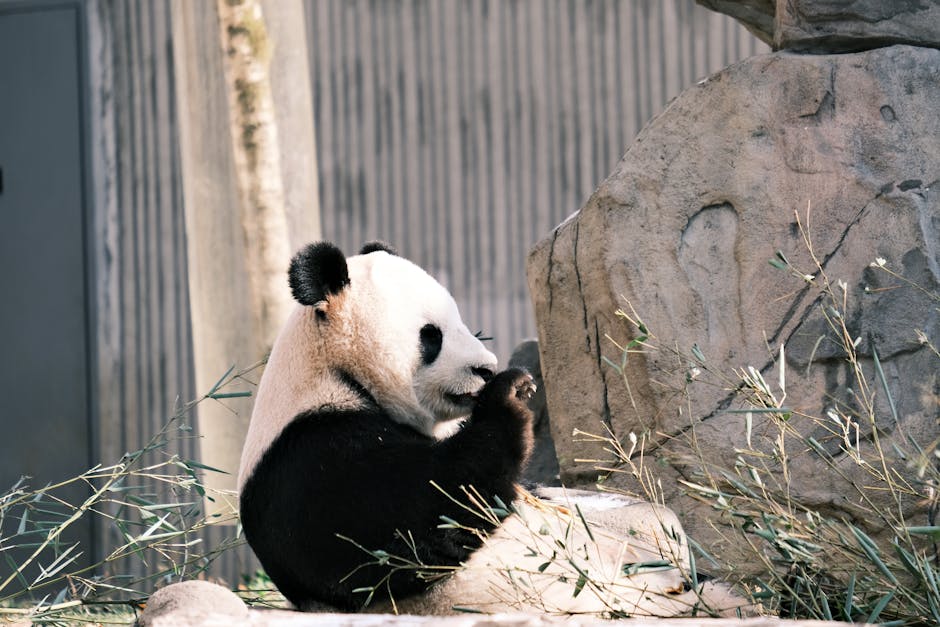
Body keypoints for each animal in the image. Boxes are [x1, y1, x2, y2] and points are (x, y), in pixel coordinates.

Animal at [237, 241, 535, 612]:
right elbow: (414, 520)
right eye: (431, 335)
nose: (486, 369)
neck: (335, 371)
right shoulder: (308, 457)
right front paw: (511, 392)